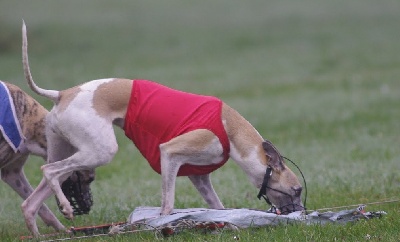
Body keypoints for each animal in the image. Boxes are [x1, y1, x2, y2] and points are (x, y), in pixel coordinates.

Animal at [20, 21, 304, 235]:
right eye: (297, 190)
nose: (301, 213)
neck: (229, 128)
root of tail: (63, 93)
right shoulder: (170, 153)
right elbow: (167, 205)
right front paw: (164, 225)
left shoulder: (199, 177)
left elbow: (217, 206)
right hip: (99, 151)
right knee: (49, 171)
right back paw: (66, 207)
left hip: (66, 150)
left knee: (31, 201)